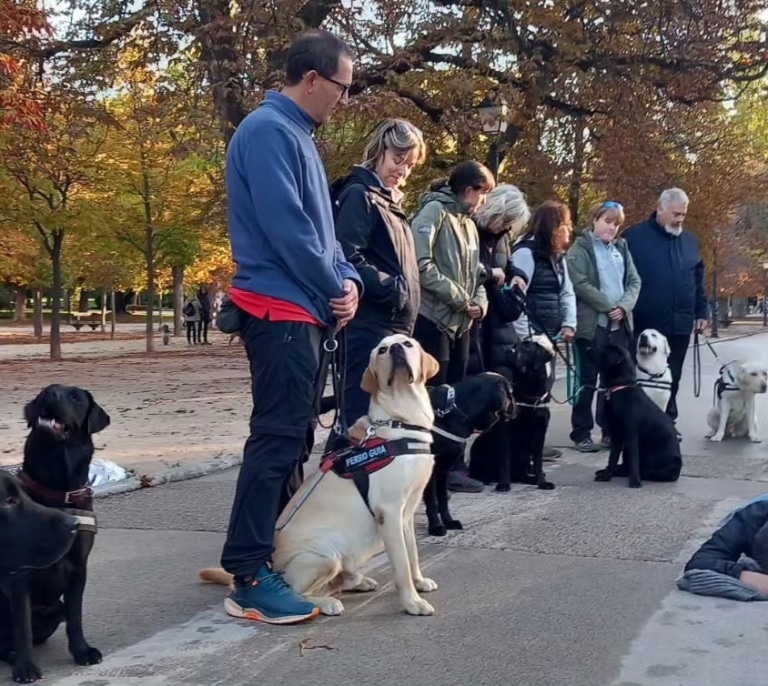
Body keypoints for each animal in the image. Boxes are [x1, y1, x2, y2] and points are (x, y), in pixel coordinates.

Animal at [0, 384, 111, 684]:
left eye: (75, 397)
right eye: (45, 392)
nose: (52, 395)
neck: (57, 488)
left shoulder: (79, 568)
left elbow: (75, 617)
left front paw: (82, 651)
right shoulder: (19, 575)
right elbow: (22, 626)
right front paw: (25, 666)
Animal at [198, 336, 440, 620]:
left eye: (408, 343)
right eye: (382, 350)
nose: (395, 349)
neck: (401, 421)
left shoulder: (407, 512)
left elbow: (412, 553)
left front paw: (419, 582)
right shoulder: (388, 512)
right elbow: (401, 564)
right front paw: (412, 602)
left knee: (335, 583)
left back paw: (358, 582)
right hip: (324, 555)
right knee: (299, 592)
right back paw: (322, 603)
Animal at [426, 374, 516, 540]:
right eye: (509, 391)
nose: (515, 406)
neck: (454, 409)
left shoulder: (443, 469)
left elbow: (442, 498)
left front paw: (448, 521)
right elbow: (431, 501)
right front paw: (436, 527)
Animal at [468, 340, 560, 494]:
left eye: (527, 348)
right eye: (515, 346)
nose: (509, 351)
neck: (529, 392)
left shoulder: (540, 432)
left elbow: (538, 462)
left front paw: (542, 482)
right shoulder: (507, 431)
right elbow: (505, 460)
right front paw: (504, 484)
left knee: (521, 473)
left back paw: (531, 478)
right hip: (479, 443)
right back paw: (484, 478)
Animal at [592, 344, 680, 490]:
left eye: (603, 350)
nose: (588, 348)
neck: (620, 387)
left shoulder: (631, 434)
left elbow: (633, 460)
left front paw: (634, 481)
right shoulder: (616, 435)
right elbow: (612, 459)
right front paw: (606, 475)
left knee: (645, 470)